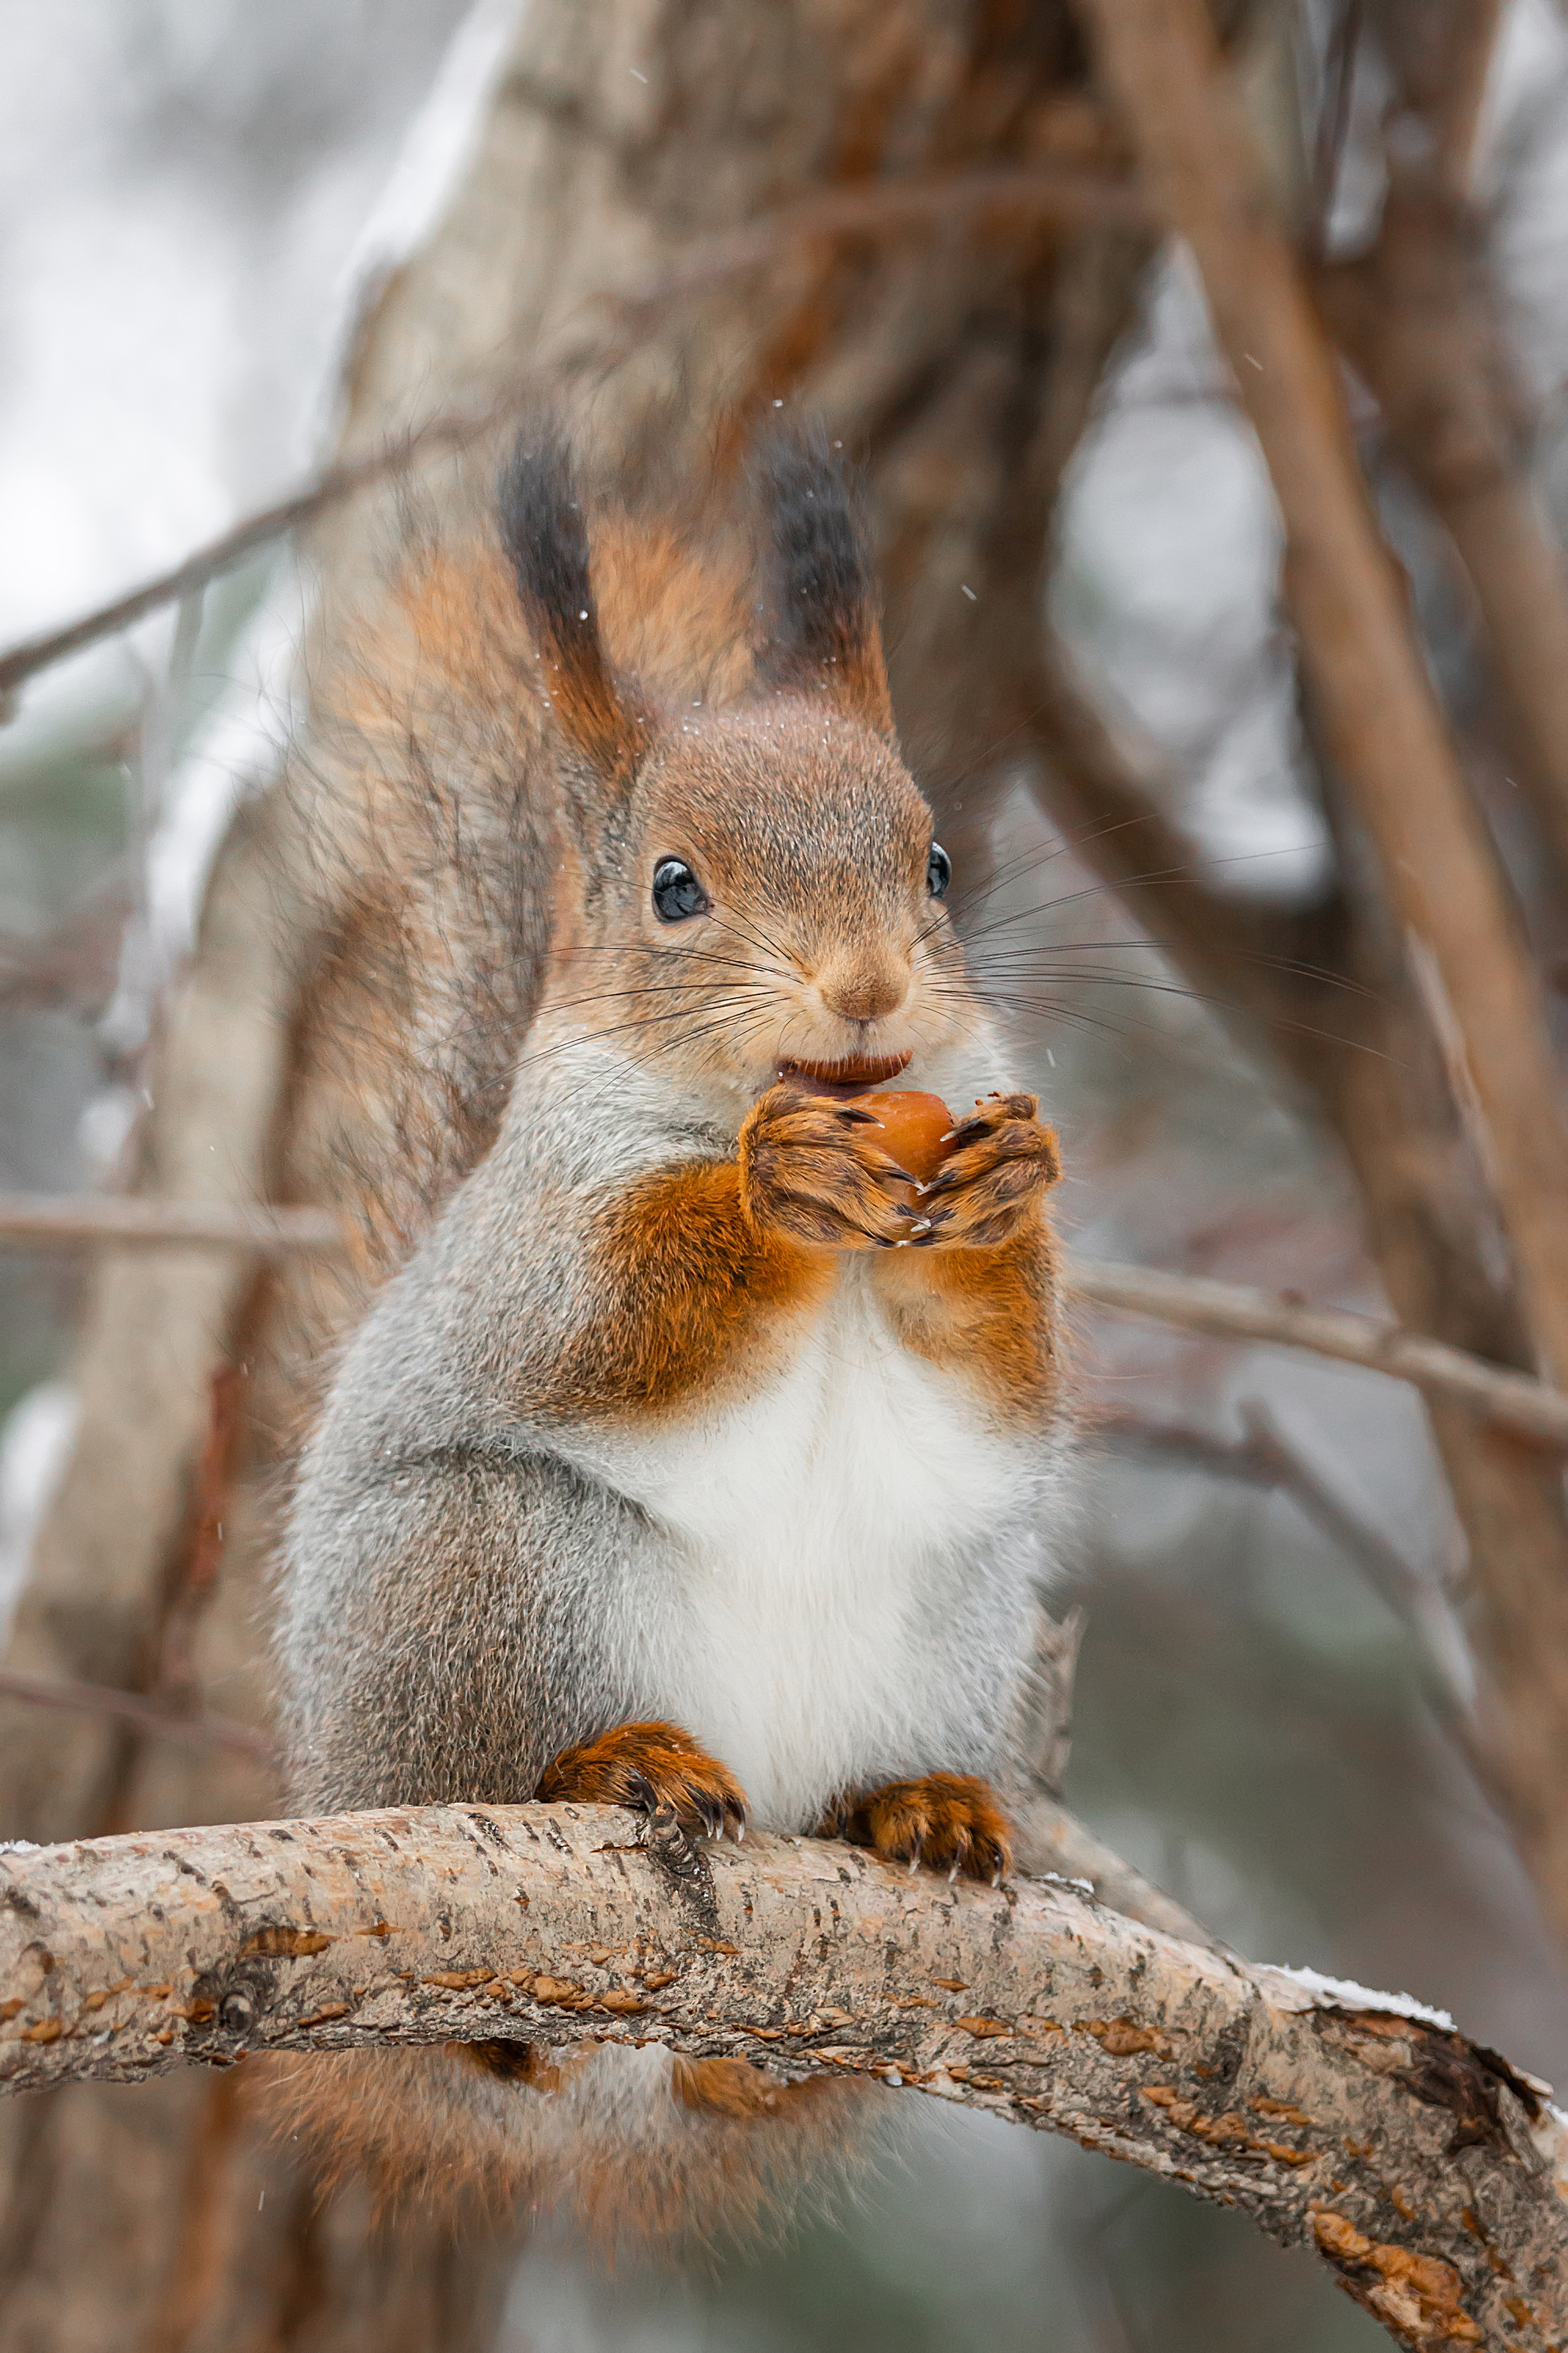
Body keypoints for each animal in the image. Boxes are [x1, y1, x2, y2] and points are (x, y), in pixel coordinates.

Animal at [276, 424, 1071, 2240]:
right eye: (672, 888)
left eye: (935, 863)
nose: (864, 990)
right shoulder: (541, 1247)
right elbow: (622, 1319)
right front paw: (775, 1185)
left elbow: (1009, 1387)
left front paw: (1008, 1199)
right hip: (482, 1577)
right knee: (496, 1956)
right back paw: (605, 1775)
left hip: (954, 1624)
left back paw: (906, 1816)